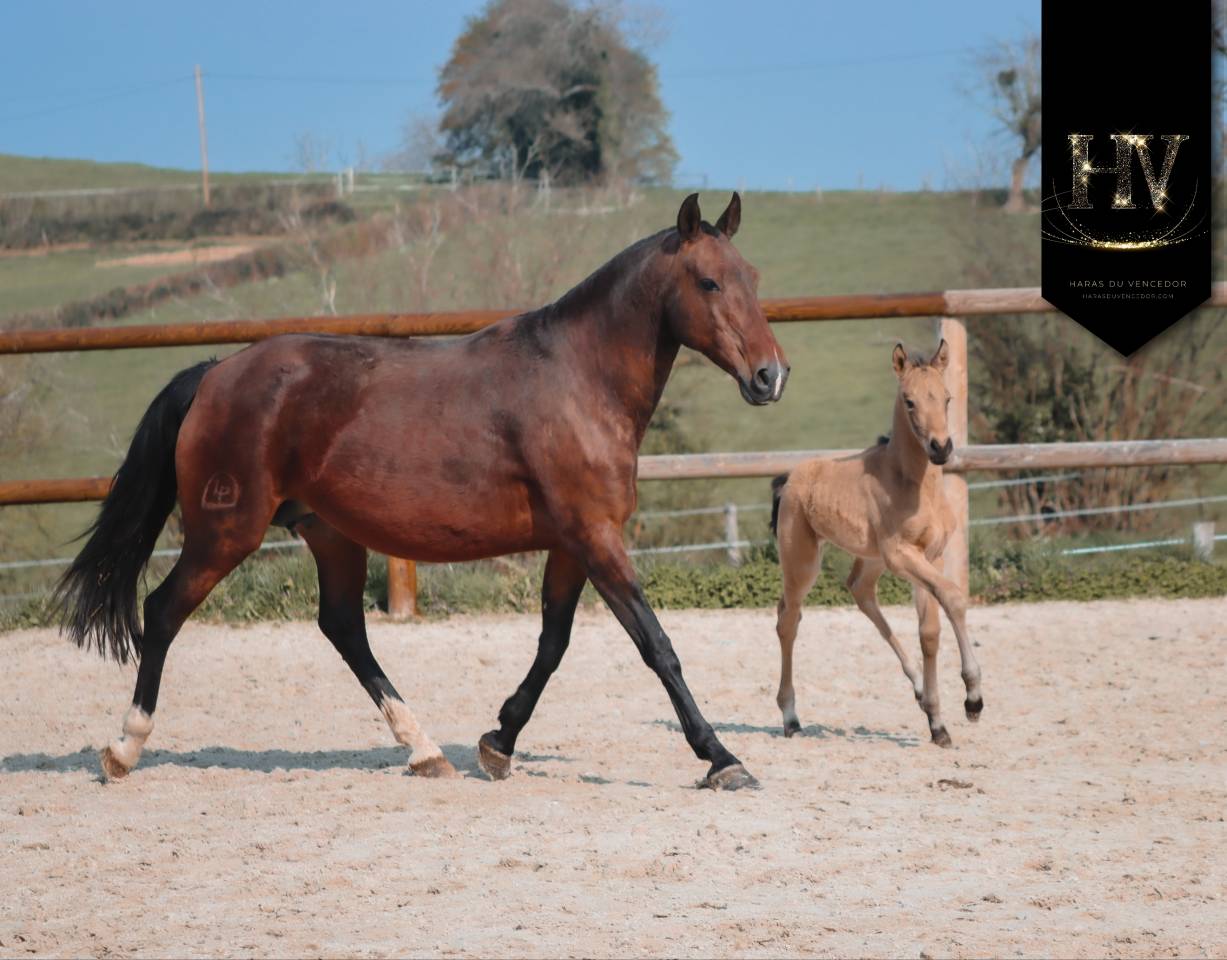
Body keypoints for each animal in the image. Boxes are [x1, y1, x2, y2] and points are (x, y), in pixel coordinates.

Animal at [55, 192, 789, 791]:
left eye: (754, 278)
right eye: (708, 280)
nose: (770, 376)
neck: (578, 379)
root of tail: (214, 374)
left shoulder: (571, 544)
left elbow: (552, 645)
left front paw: (499, 742)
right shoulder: (594, 537)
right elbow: (656, 646)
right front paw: (722, 759)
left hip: (329, 534)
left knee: (343, 627)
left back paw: (425, 750)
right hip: (226, 532)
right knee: (163, 610)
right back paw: (123, 749)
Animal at [769, 340, 982, 747]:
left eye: (947, 398)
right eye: (909, 401)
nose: (941, 448)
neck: (912, 483)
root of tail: (789, 478)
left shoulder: (930, 556)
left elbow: (929, 632)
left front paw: (937, 723)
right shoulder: (903, 556)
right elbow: (953, 597)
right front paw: (972, 699)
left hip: (871, 559)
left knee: (859, 590)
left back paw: (918, 691)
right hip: (803, 560)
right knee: (788, 620)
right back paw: (790, 717)